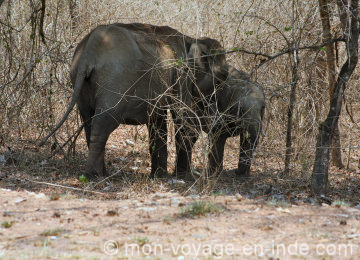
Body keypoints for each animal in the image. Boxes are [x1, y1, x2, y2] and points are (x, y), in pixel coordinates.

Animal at [39, 22, 225, 179]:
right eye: (222, 76)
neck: (192, 40)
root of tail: (88, 54)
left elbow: (158, 122)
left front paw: (159, 176)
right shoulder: (182, 75)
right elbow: (184, 121)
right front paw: (182, 177)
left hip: (80, 80)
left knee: (88, 121)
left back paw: (101, 173)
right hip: (115, 82)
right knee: (103, 122)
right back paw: (96, 175)